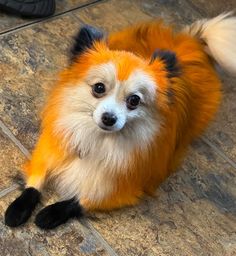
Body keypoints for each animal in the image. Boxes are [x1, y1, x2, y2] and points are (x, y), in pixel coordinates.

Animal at [4, 12, 236, 230]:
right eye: (99, 88)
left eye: (134, 100)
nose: (109, 118)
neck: (98, 140)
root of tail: (192, 41)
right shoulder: (49, 150)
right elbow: (36, 180)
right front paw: (18, 208)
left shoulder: (123, 188)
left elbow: (81, 200)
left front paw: (52, 213)